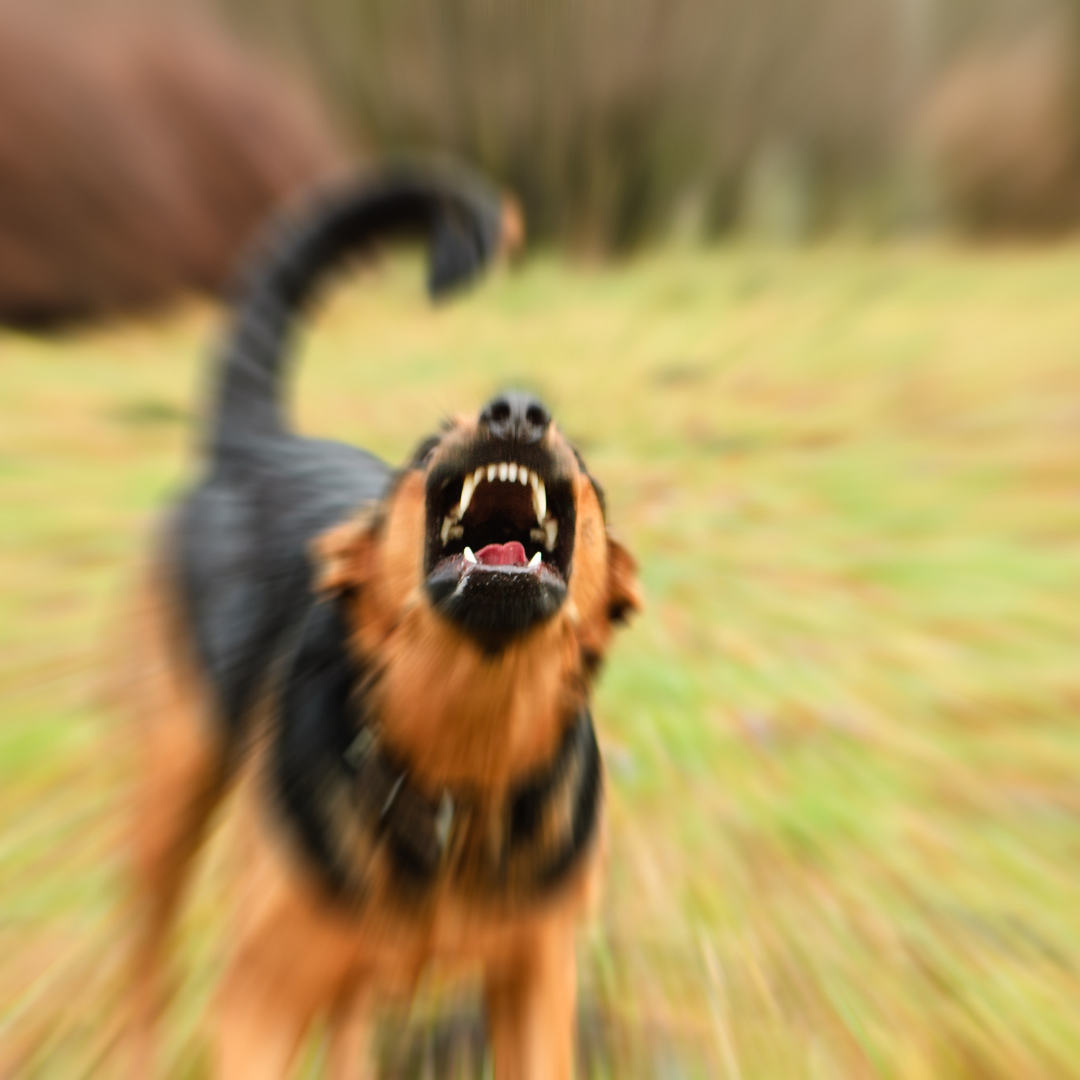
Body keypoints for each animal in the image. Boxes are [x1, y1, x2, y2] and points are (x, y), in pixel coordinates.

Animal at [125, 165, 641, 1079]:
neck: (466, 759)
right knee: (146, 960)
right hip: (172, 784)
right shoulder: (259, 1003)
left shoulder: (536, 987)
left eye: (580, 460)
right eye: (426, 447)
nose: (517, 409)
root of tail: (252, 444)